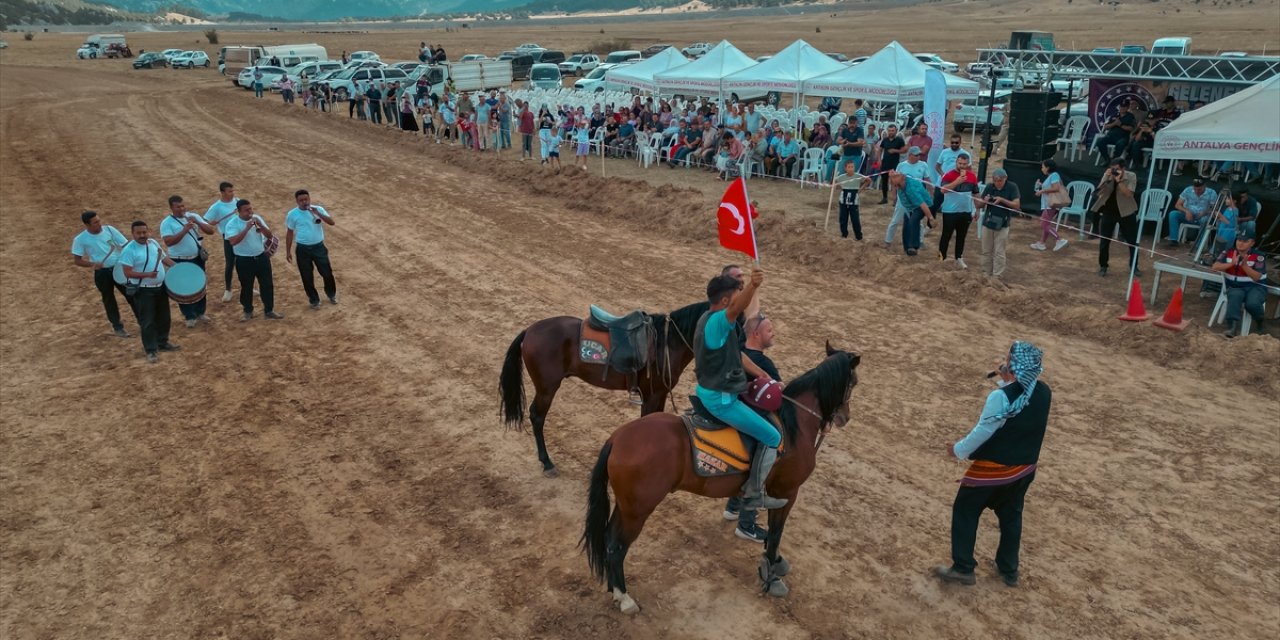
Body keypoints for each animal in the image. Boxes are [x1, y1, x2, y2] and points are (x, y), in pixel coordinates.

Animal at [496, 302, 706, 478]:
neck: (667, 343)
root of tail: (529, 331)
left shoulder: (660, 395)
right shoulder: (651, 396)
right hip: (547, 388)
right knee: (537, 416)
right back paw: (547, 463)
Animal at [581, 345, 860, 614]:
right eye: (853, 382)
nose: (845, 417)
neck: (795, 425)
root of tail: (617, 439)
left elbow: (772, 532)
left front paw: (775, 563)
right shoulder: (787, 492)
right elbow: (776, 533)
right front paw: (771, 575)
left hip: (626, 506)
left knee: (607, 538)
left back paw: (615, 590)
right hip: (637, 510)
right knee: (616, 546)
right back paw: (625, 597)